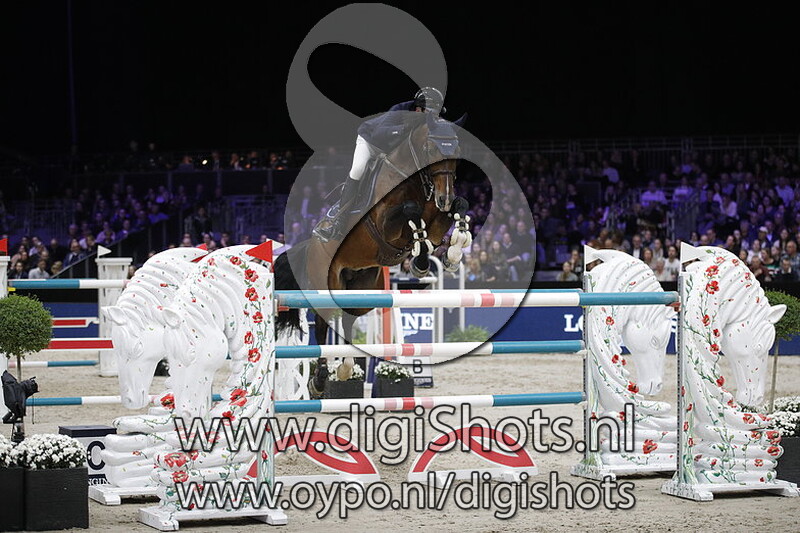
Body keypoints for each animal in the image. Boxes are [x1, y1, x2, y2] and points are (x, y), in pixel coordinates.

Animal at [276, 111, 471, 394]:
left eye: (456, 152)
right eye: (429, 148)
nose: (444, 197)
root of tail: (310, 246)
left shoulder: (437, 219)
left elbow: (458, 208)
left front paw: (452, 253)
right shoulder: (386, 225)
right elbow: (411, 212)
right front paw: (422, 261)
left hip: (364, 286)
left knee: (348, 317)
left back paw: (345, 367)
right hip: (327, 282)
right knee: (323, 323)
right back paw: (319, 379)